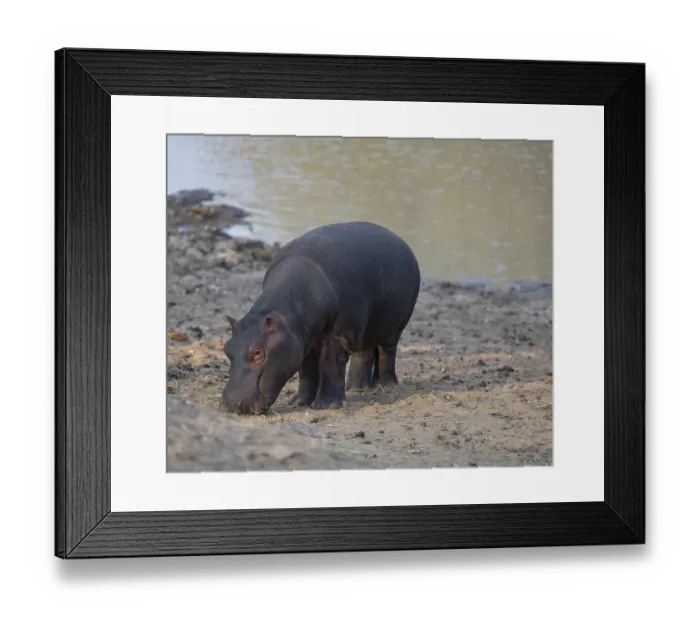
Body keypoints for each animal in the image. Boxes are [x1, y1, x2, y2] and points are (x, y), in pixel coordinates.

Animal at [222, 221, 421, 414]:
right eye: (226, 349)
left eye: (258, 352)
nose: (232, 404)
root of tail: (400, 240)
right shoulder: (303, 340)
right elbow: (307, 371)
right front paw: (298, 402)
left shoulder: (337, 336)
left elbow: (330, 366)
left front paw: (327, 406)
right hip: (366, 328)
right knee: (364, 354)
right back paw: (355, 388)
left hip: (395, 327)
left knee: (387, 353)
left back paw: (387, 386)